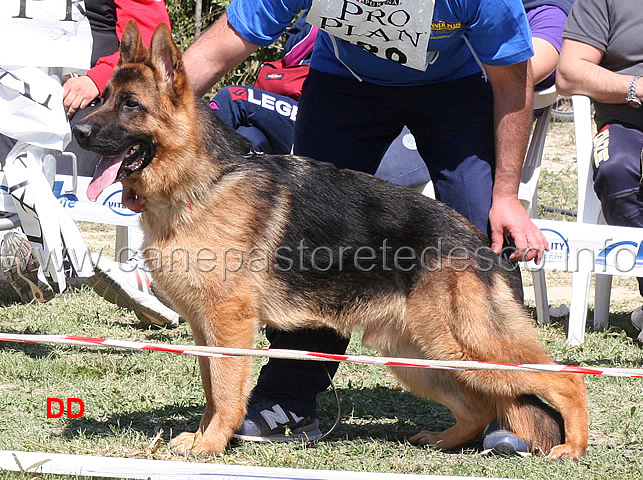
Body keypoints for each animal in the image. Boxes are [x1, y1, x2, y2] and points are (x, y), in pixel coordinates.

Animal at [73, 20, 592, 460]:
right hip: (422, 354)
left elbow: (225, 391)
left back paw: (573, 446)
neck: (201, 183)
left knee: (564, 381)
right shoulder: (206, 329)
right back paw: (443, 440)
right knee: (480, 407)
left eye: (131, 105)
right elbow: (210, 390)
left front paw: (213, 444)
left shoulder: (229, 325)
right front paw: (202, 437)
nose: (76, 129)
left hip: (466, 345)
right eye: (104, 98)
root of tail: (476, 240)